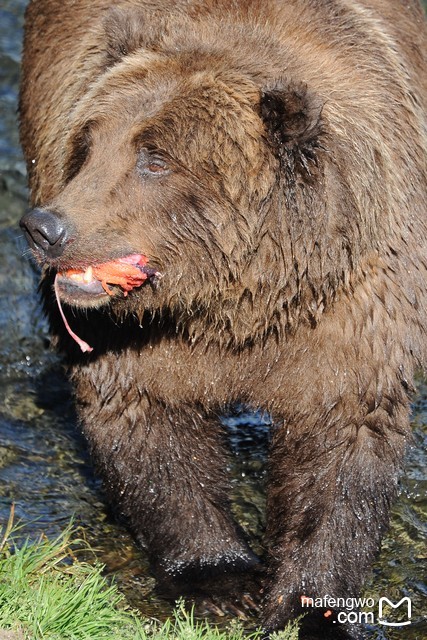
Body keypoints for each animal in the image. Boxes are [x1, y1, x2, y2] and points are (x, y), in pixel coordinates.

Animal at [18, 0, 426, 636]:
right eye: (89, 144)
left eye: (155, 158)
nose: (46, 227)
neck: (235, 300)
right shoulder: (138, 337)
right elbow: (146, 421)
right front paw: (221, 581)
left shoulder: (352, 306)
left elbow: (341, 441)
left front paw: (314, 605)